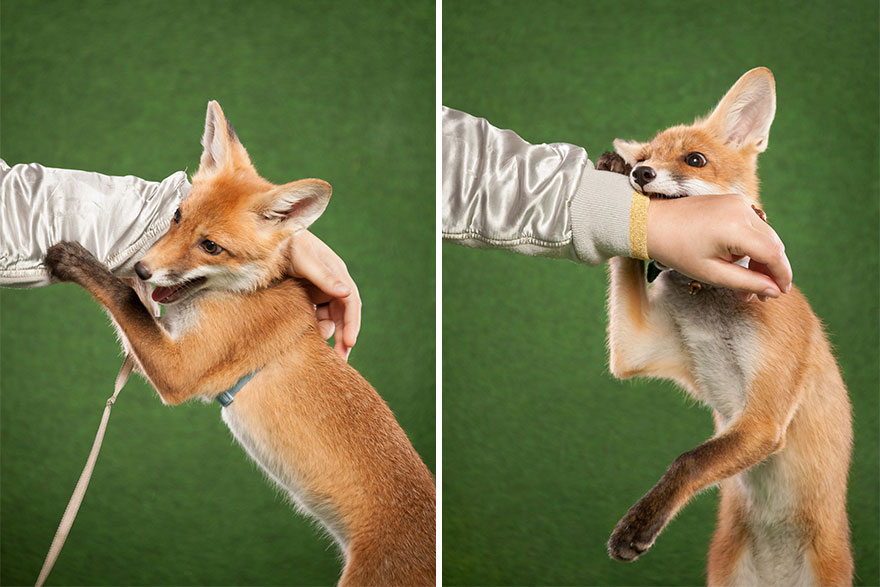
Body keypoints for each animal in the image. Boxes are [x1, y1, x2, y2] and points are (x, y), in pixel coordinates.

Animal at [44, 101, 435, 586]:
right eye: (177, 216)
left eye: (211, 246)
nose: (141, 268)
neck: (243, 292)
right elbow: (135, 302)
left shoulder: (179, 371)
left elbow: (125, 300)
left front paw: (80, 262)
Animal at [596, 68, 853, 586]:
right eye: (646, 157)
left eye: (694, 159)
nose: (639, 173)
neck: (711, 307)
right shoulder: (640, 351)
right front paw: (612, 173)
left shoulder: (765, 419)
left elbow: (689, 459)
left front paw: (639, 524)